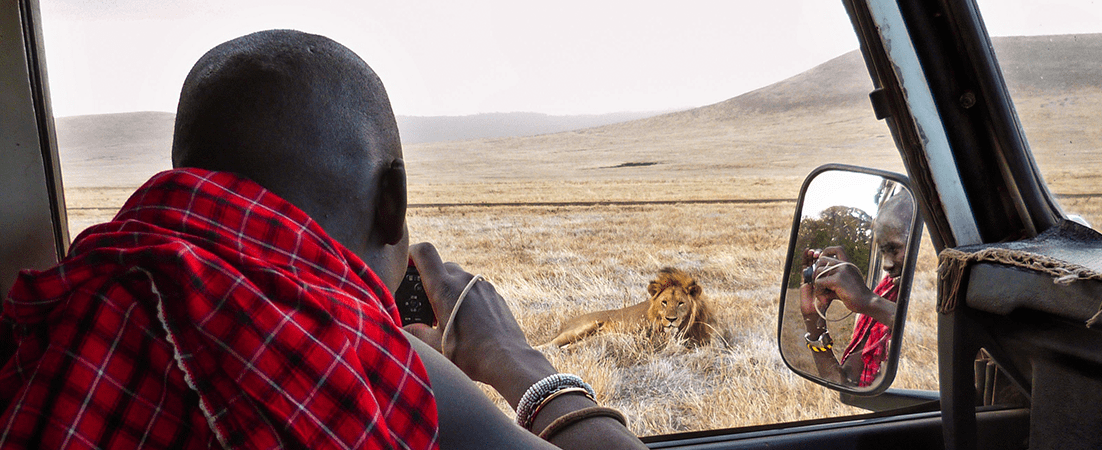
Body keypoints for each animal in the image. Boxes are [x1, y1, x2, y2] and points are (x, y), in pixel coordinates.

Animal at [546, 266, 718, 348]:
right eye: (664, 302)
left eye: (681, 303)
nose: (670, 319)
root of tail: (567, 323)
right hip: (580, 329)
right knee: (551, 345)